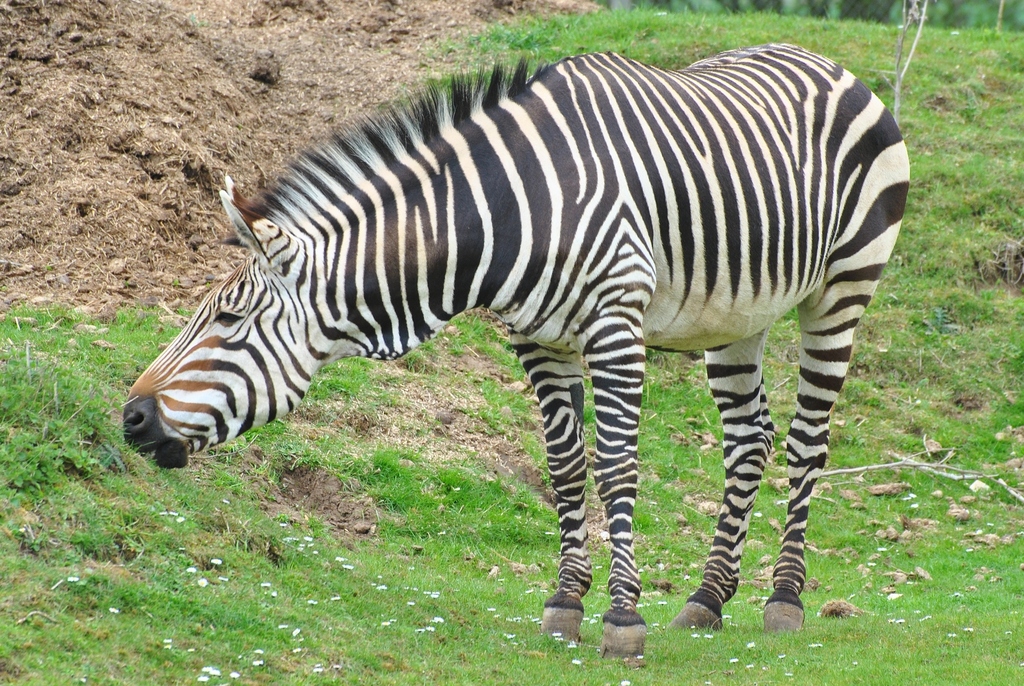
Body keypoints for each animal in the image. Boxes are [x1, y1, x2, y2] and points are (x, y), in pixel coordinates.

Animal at [124, 44, 909, 658]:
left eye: (228, 318)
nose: (131, 419)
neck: (505, 214)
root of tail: (824, 62)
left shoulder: (615, 324)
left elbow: (615, 466)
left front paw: (623, 619)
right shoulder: (535, 339)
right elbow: (564, 468)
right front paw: (565, 605)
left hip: (842, 289)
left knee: (807, 440)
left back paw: (785, 600)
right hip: (738, 315)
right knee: (750, 439)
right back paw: (708, 599)